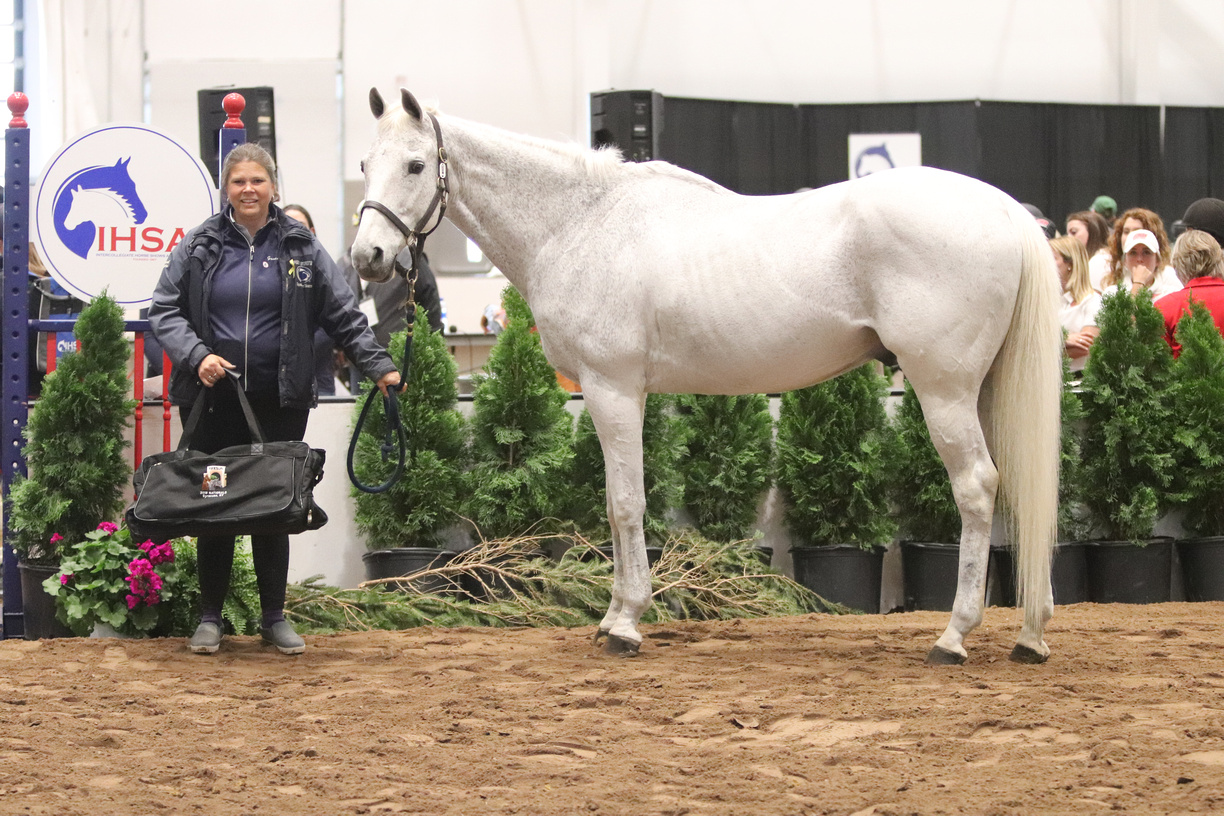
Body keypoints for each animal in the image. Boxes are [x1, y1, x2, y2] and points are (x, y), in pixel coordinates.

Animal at [352, 89, 1062, 665]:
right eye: (364, 164)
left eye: (416, 165)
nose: (368, 257)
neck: (581, 223)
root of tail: (1004, 210)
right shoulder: (619, 394)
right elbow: (617, 504)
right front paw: (613, 615)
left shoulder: (611, 389)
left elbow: (625, 504)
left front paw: (625, 626)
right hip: (984, 389)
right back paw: (1030, 634)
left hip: (943, 389)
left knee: (977, 487)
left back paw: (954, 636)